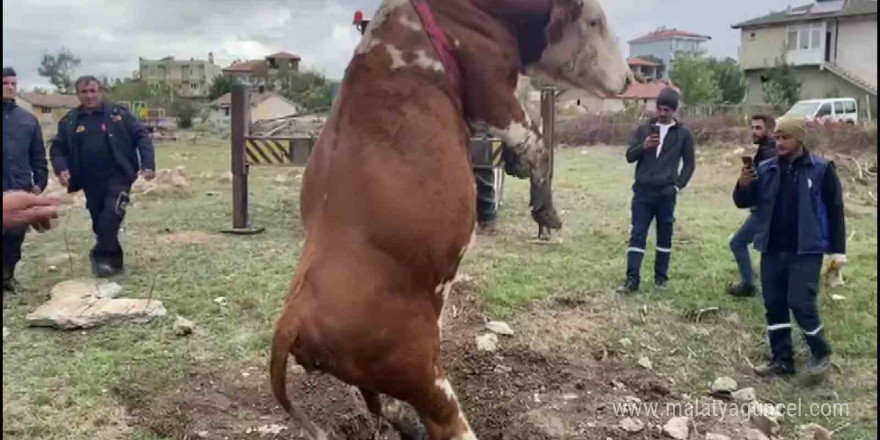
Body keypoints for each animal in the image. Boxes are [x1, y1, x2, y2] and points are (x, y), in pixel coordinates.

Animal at [272, 0, 628, 440]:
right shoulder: (494, 91)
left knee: (383, 405)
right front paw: (546, 210)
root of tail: (292, 318)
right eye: (595, 20)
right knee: (446, 421)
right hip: (419, 371)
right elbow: (538, 143)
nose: (629, 78)